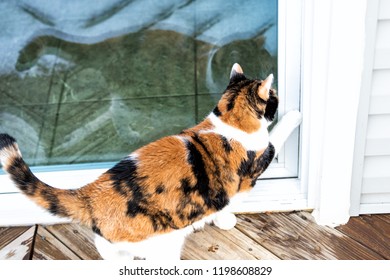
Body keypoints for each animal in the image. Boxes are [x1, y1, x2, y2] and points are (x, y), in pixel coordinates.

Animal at [0, 63, 302, 260]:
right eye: (274, 97)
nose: (279, 97)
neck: (228, 119)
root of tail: (91, 194)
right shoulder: (258, 161)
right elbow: (276, 137)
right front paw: (295, 115)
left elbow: (222, 201)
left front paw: (222, 218)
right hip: (162, 244)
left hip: (112, 249)